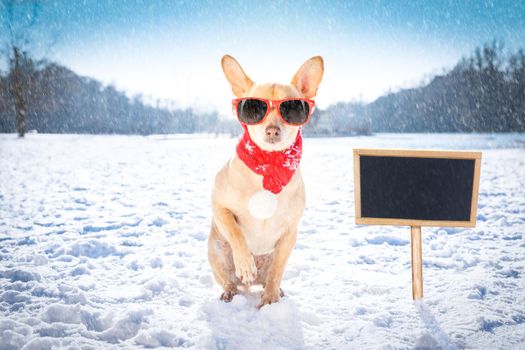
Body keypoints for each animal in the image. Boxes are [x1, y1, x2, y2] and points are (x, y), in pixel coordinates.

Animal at [207, 54, 322, 308]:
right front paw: (245, 263)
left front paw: (269, 301)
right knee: (229, 281)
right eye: (254, 108)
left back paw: (276, 291)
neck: (267, 166)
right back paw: (231, 291)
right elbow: (236, 233)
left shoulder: (289, 233)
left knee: (271, 276)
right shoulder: (220, 207)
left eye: (291, 108)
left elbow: (277, 271)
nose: (272, 130)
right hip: (216, 252)